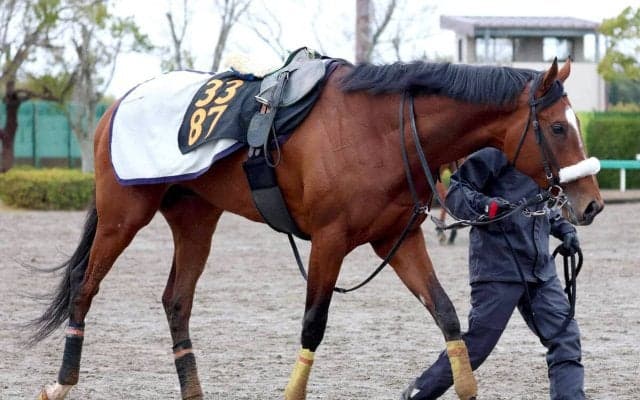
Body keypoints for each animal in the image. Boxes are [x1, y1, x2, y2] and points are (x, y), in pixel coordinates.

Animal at [30, 57, 604, 400]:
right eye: (558, 127)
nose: (592, 204)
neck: (380, 131)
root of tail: (119, 103)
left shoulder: (397, 240)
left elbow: (446, 314)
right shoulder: (330, 242)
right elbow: (313, 325)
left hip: (195, 219)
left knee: (176, 300)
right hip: (123, 215)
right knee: (84, 289)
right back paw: (60, 384)